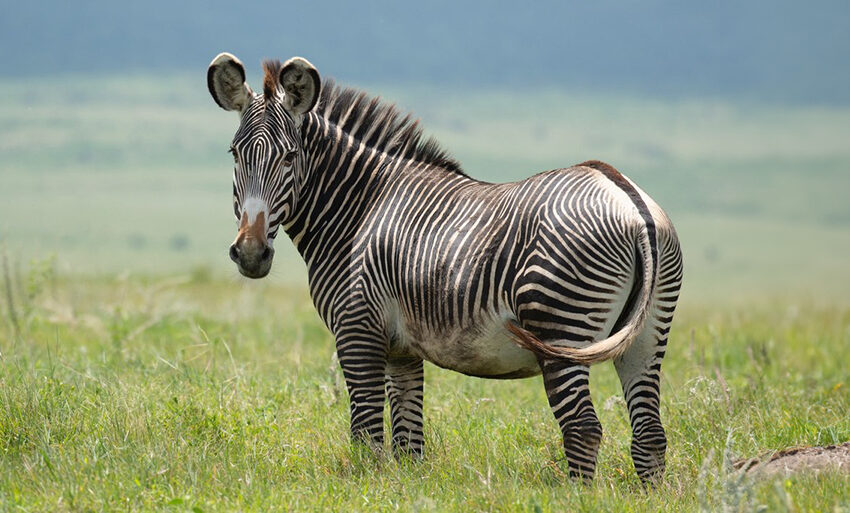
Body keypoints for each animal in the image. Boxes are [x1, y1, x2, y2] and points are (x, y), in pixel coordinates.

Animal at [207, 54, 684, 482]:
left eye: (289, 157)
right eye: (234, 154)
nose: (250, 253)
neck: (359, 209)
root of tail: (629, 201)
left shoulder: (356, 331)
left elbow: (366, 437)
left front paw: (366, 488)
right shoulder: (401, 349)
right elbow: (408, 443)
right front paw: (405, 490)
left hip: (559, 322)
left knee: (583, 428)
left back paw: (575, 497)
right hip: (647, 333)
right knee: (650, 434)